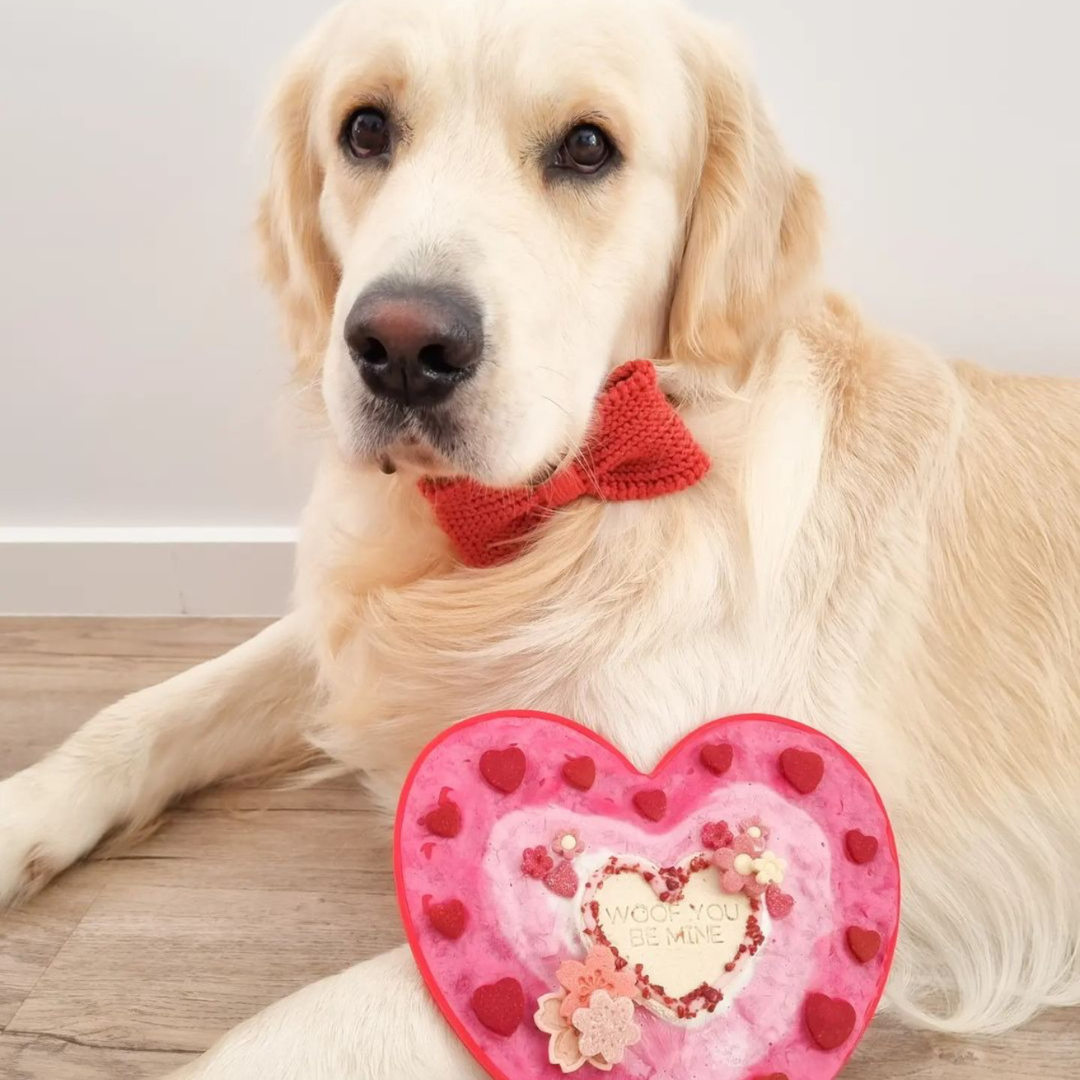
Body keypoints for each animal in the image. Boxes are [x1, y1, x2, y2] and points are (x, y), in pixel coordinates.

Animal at [2, 0, 1080, 1075]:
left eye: (588, 146)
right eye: (365, 129)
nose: (401, 348)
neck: (550, 512)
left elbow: (318, 1025)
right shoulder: (349, 639)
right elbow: (150, 709)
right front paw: (20, 814)